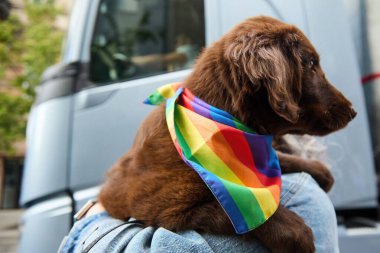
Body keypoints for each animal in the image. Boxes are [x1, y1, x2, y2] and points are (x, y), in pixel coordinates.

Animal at [98, 16, 356, 253]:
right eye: (311, 64)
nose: (353, 112)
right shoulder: (162, 206)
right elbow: (227, 209)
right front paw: (298, 233)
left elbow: (280, 159)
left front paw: (320, 171)